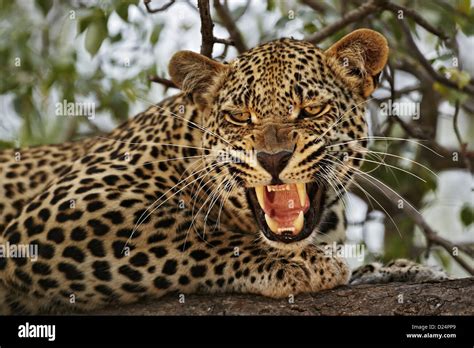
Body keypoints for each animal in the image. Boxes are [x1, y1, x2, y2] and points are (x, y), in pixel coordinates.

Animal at [0, 28, 446, 314]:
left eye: (312, 109)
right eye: (239, 116)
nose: (273, 158)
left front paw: (399, 272)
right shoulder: (53, 217)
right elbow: (190, 233)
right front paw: (298, 263)